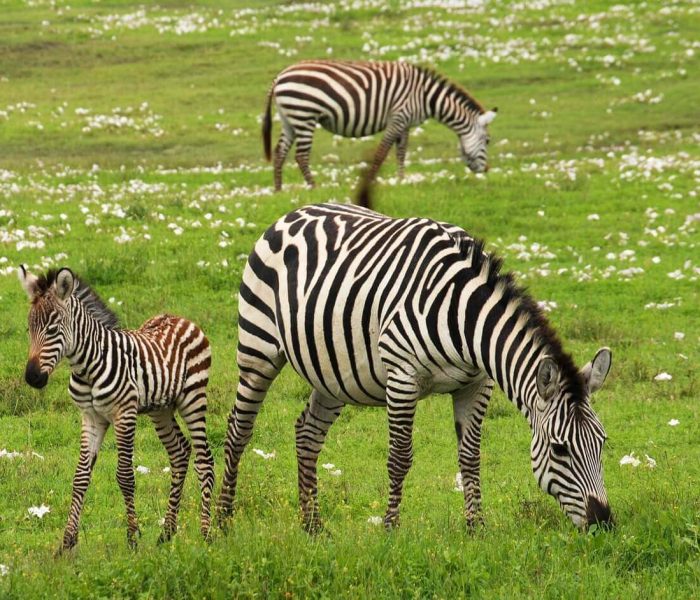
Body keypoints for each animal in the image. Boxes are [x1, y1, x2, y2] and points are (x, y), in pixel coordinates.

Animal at [18, 266, 215, 553]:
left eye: (53, 329)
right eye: (29, 328)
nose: (33, 378)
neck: (87, 366)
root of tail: (181, 318)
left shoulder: (124, 414)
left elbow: (125, 476)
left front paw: (132, 538)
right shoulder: (91, 417)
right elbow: (80, 478)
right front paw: (67, 543)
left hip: (193, 398)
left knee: (205, 460)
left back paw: (206, 533)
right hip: (161, 409)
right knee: (179, 453)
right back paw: (166, 533)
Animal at [217, 202, 614, 532]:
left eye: (602, 443)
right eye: (560, 449)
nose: (603, 523)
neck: (464, 317)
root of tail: (292, 213)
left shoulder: (477, 384)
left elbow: (470, 457)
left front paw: (476, 528)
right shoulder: (402, 376)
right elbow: (400, 457)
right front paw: (390, 528)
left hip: (332, 372)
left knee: (307, 434)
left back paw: (312, 525)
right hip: (258, 347)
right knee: (239, 429)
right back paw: (220, 521)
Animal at [262, 60, 497, 191]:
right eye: (487, 141)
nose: (486, 170)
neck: (426, 97)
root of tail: (279, 77)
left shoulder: (405, 124)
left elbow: (401, 151)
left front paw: (401, 180)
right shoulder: (398, 117)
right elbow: (382, 152)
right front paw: (373, 181)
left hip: (289, 118)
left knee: (280, 152)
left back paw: (278, 189)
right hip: (304, 115)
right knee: (301, 156)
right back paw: (313, 186)